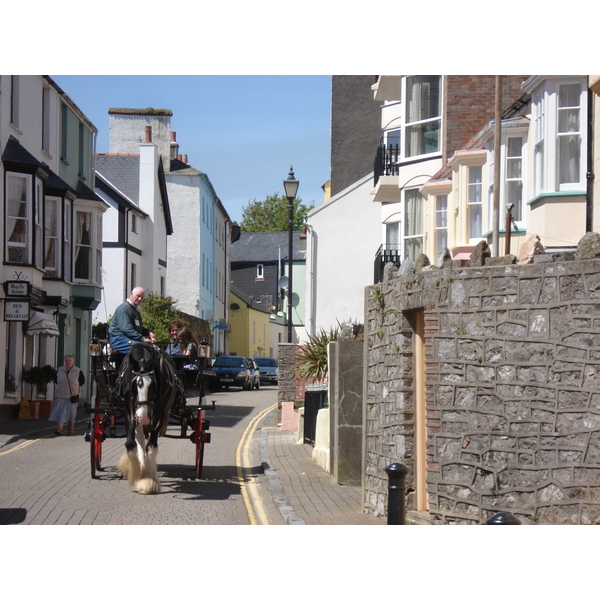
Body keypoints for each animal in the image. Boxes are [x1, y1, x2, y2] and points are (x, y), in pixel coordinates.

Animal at [116, 342, 178, 492]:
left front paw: (148, 480)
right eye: (133, 384)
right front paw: (135, 471)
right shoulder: (129, 410)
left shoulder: (159, 414)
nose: (142, 417)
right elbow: (130, 444)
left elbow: (151, 447)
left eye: (153, 384)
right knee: (139, 438)